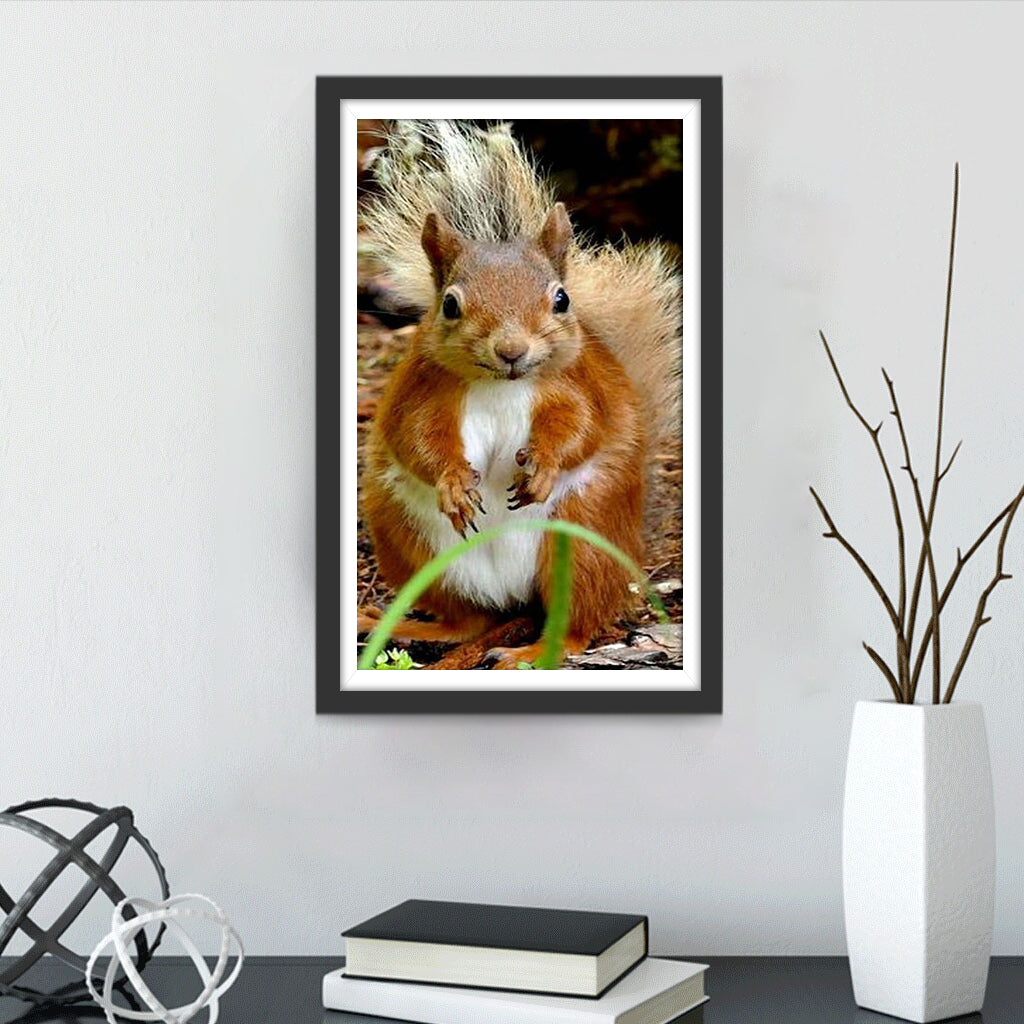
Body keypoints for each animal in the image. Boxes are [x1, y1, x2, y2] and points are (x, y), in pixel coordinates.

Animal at [358, 121, 681, 669]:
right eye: (449, 304)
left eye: (561, 300)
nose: (511, 350)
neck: (499, 386)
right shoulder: (421, 391)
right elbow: (417, 438)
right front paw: (452, 482)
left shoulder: (578, 386)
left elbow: (581, 428)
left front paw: (544, 467)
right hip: (410, 542)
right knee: (466, 620)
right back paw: (408, 625)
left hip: (582, 540)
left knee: (577, 622)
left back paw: (531, 650)